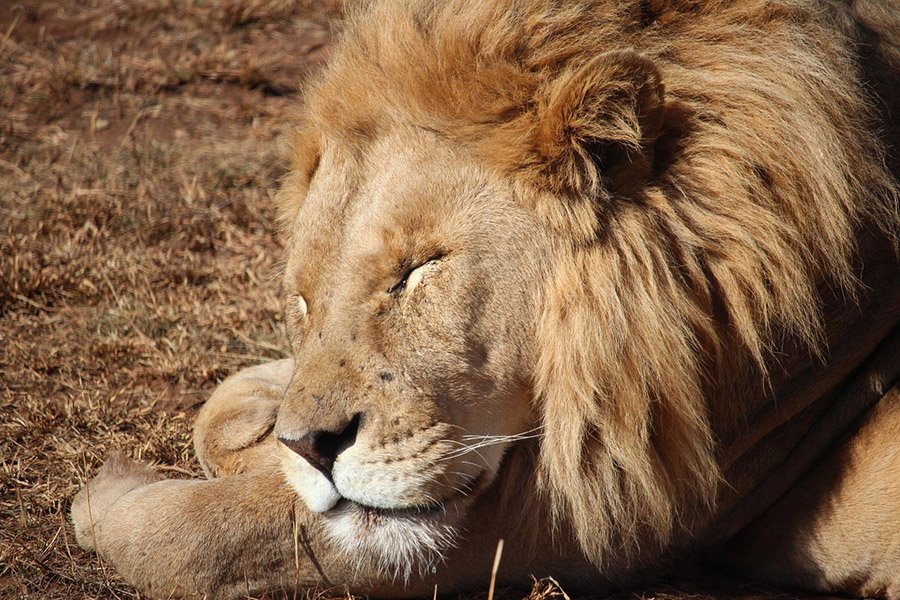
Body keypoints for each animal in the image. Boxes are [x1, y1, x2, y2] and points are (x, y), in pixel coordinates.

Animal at [71, 0, 900, 598]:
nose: (309, 447)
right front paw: (255, 425)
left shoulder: (591, 515)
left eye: (416, 271)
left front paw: (104, 497)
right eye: (303, 301)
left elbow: (217, 536)